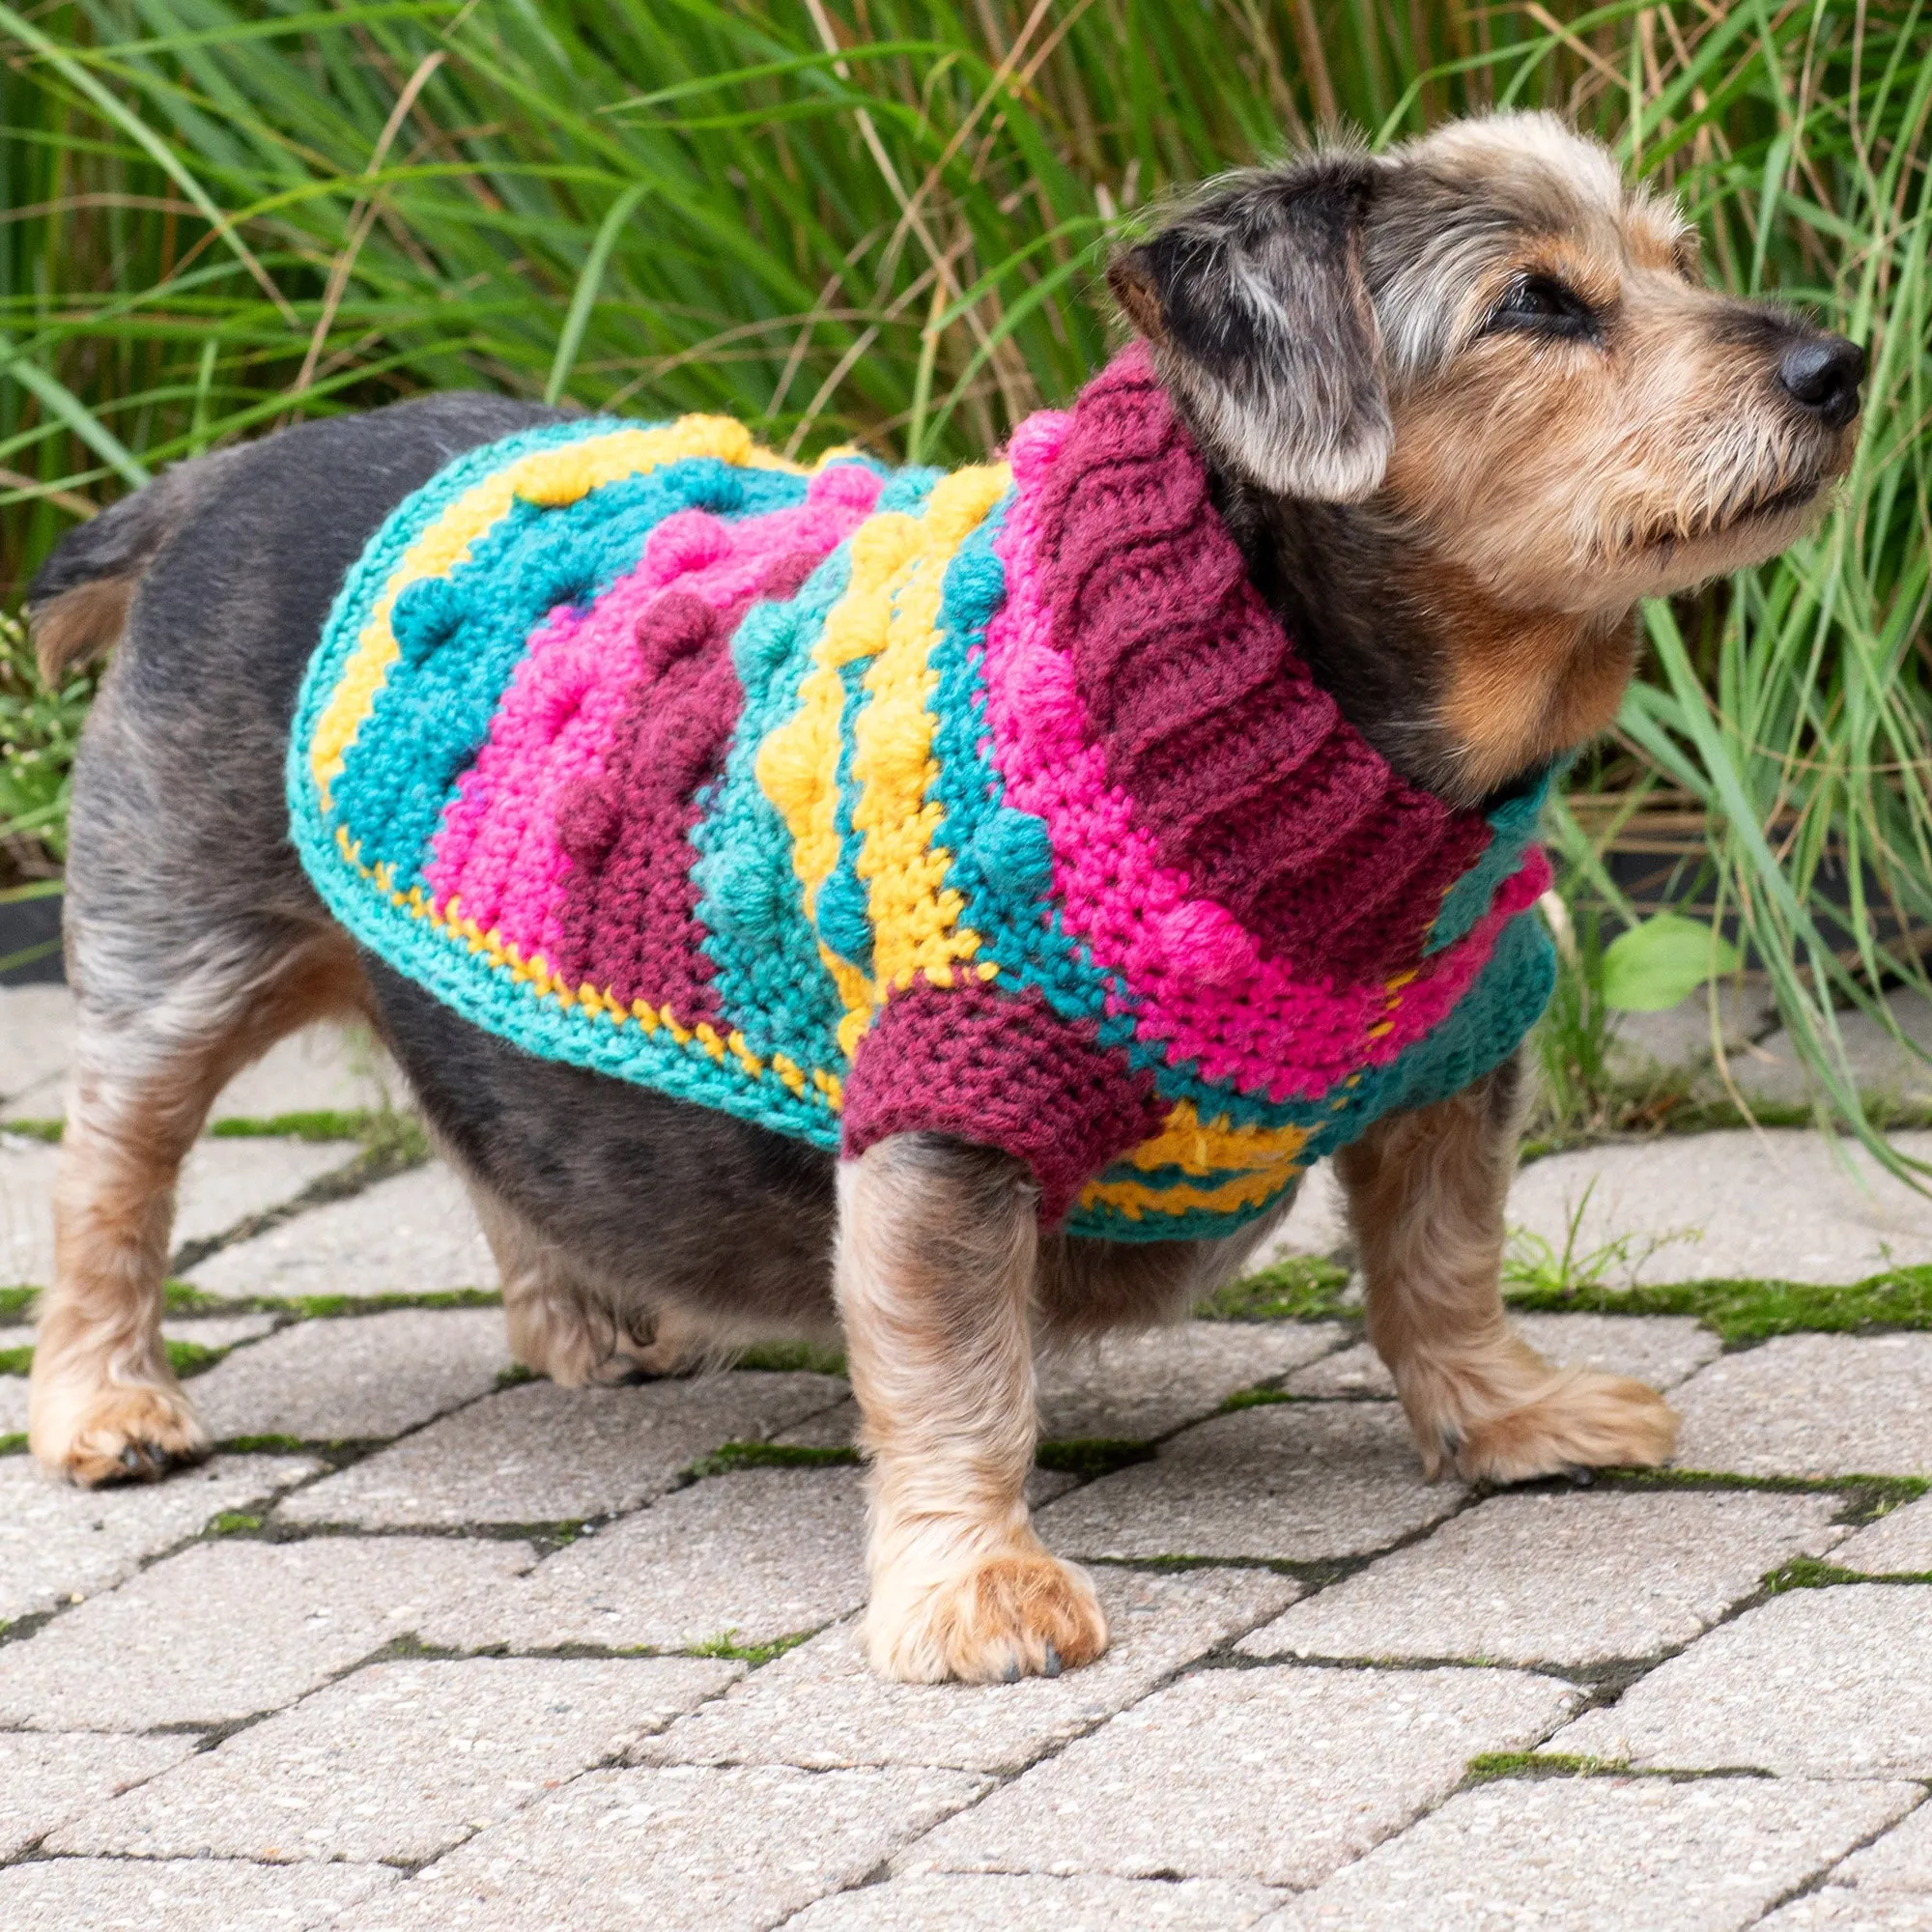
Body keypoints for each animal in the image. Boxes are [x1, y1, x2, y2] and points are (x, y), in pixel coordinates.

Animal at [18, 109, 1855, 1677]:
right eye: (1535, 303)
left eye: (1678, 257)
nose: (1837, 365)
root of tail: (228, 473)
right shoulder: (951, 1098)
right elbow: (956, 1370)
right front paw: (979, 1585)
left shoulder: (1460, 1051)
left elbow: (1443, 1258)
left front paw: (1504, 1415)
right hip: (181, 943)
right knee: (112, 1167)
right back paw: (104, 1403)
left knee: (481, 1113)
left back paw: (578, 1314)